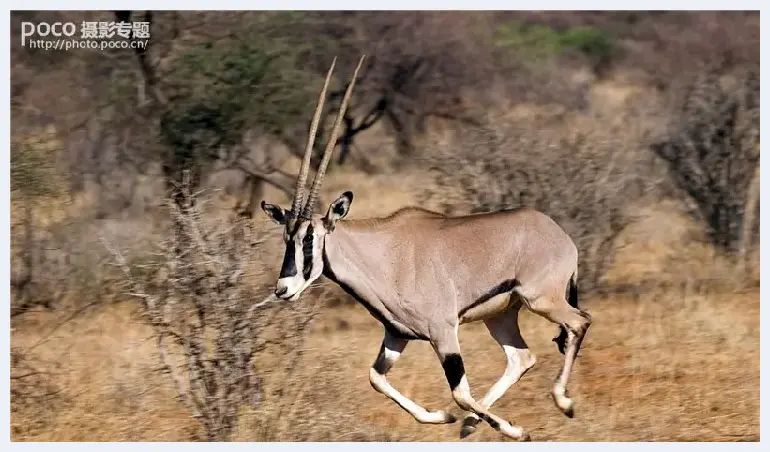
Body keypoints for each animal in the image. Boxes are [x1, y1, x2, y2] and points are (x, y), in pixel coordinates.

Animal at [260, 56, 592, 442]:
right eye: (287, 238)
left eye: (310, 238)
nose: (283, 289)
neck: (382, 253)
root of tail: (558, 234)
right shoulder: (396, 335)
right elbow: (376, 378)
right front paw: (445, 418)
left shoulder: (443, 331)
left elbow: (459, 392)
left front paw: (515, 429)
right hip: (501, 315)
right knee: (521, 358)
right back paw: (470, 423)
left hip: (541, 300)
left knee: (579, 322)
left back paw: (562, 401)